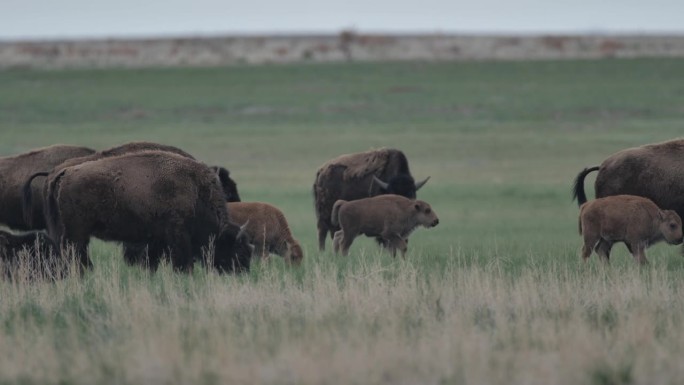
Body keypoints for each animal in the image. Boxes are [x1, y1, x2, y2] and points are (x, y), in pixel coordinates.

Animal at [46, 150, 254, 272]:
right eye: (238, 251)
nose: (241, 273)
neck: (196, 191)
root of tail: (66, 172)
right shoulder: (178, 235)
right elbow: (182, 260)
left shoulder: (156, 239)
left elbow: (152, 261)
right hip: (77, 232)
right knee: (75, 253)